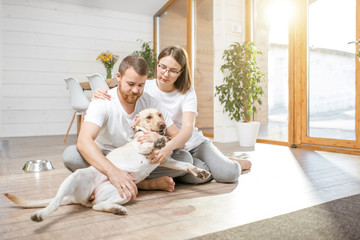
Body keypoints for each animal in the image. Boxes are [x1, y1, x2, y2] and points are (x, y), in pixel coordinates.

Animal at [3, 108, 211, 222]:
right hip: (77, 177)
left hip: (125, 193)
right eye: (149, 117)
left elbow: (184, 164)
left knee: (97, 206)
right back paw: (41, 214)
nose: (162, 126)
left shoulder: (164, 159)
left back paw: (116, 209)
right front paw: (159, 140)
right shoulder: (141, 146)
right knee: (55, 203)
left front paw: (199, 171)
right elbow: (148, 144)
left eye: (160, 115)